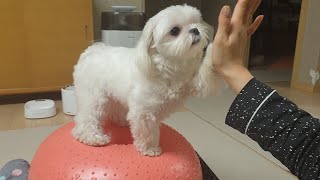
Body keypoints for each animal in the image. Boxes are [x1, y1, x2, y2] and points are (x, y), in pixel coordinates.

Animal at [72, 3, 221, 156]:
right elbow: (148, 131)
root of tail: (91, 51)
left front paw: (215, 49)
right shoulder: (145, 111)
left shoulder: (196, 82)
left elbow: (205, 79)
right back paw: (92, 137)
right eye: (174, 31)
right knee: (87, 117)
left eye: (195, 22)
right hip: (94, 97)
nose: (195, 30)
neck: (172, 66)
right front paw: (150, 148)